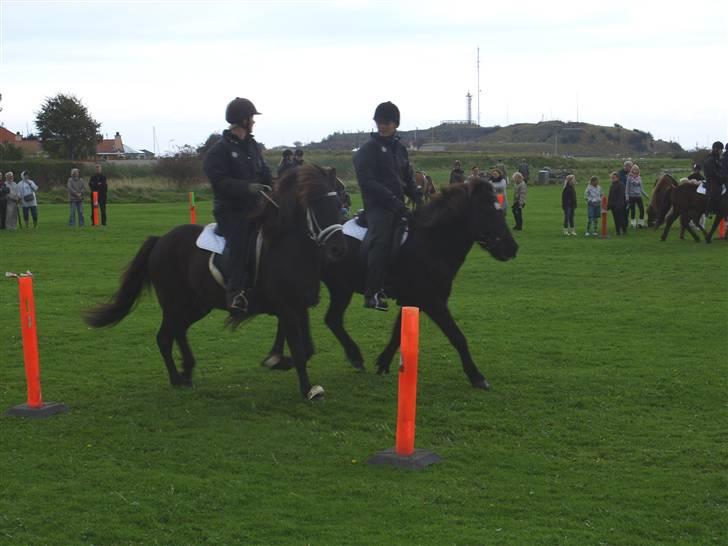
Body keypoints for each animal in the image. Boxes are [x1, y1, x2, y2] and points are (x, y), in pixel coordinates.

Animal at [84, 164, 346, 398]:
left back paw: (184, 373)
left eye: (339, 204)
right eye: (316, 204)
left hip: (197, 305)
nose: (337, 249)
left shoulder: (299, 307)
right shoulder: (287, 308)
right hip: (174, 302)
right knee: (167, 336)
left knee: (174, 333)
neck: (287, 247)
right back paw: (179, 376)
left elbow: (307, 349)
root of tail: (161, 240)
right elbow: (300, 351)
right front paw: (307, 389)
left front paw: (277, 361)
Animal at [262, 178, 516, 386]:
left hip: (339, 288)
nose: (512, 248)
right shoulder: (432, 301)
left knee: (326, 318)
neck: (430, 242)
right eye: (490, 212)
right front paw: (476, 376)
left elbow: (397, 335)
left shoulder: (413, 300)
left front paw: (383, 362)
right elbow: (457, 336)